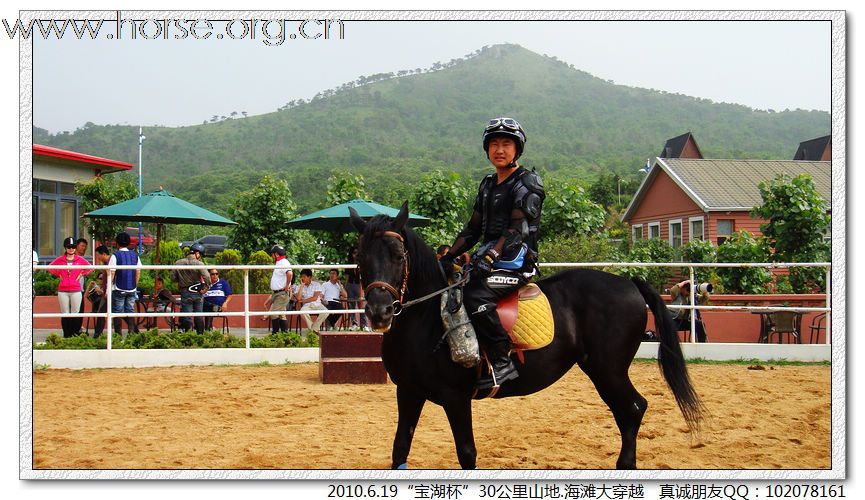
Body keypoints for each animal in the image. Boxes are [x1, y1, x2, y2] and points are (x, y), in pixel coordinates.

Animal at [350, 202, 704, 468]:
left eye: (399, 256)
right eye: (360, 258)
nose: (379, 312)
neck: (427, 319)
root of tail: (629, 283)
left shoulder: (456, 398)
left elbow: (466, 454)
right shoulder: (408, 391)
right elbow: (399, 448)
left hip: (609, 369)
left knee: (633, 409)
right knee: (628, 411)